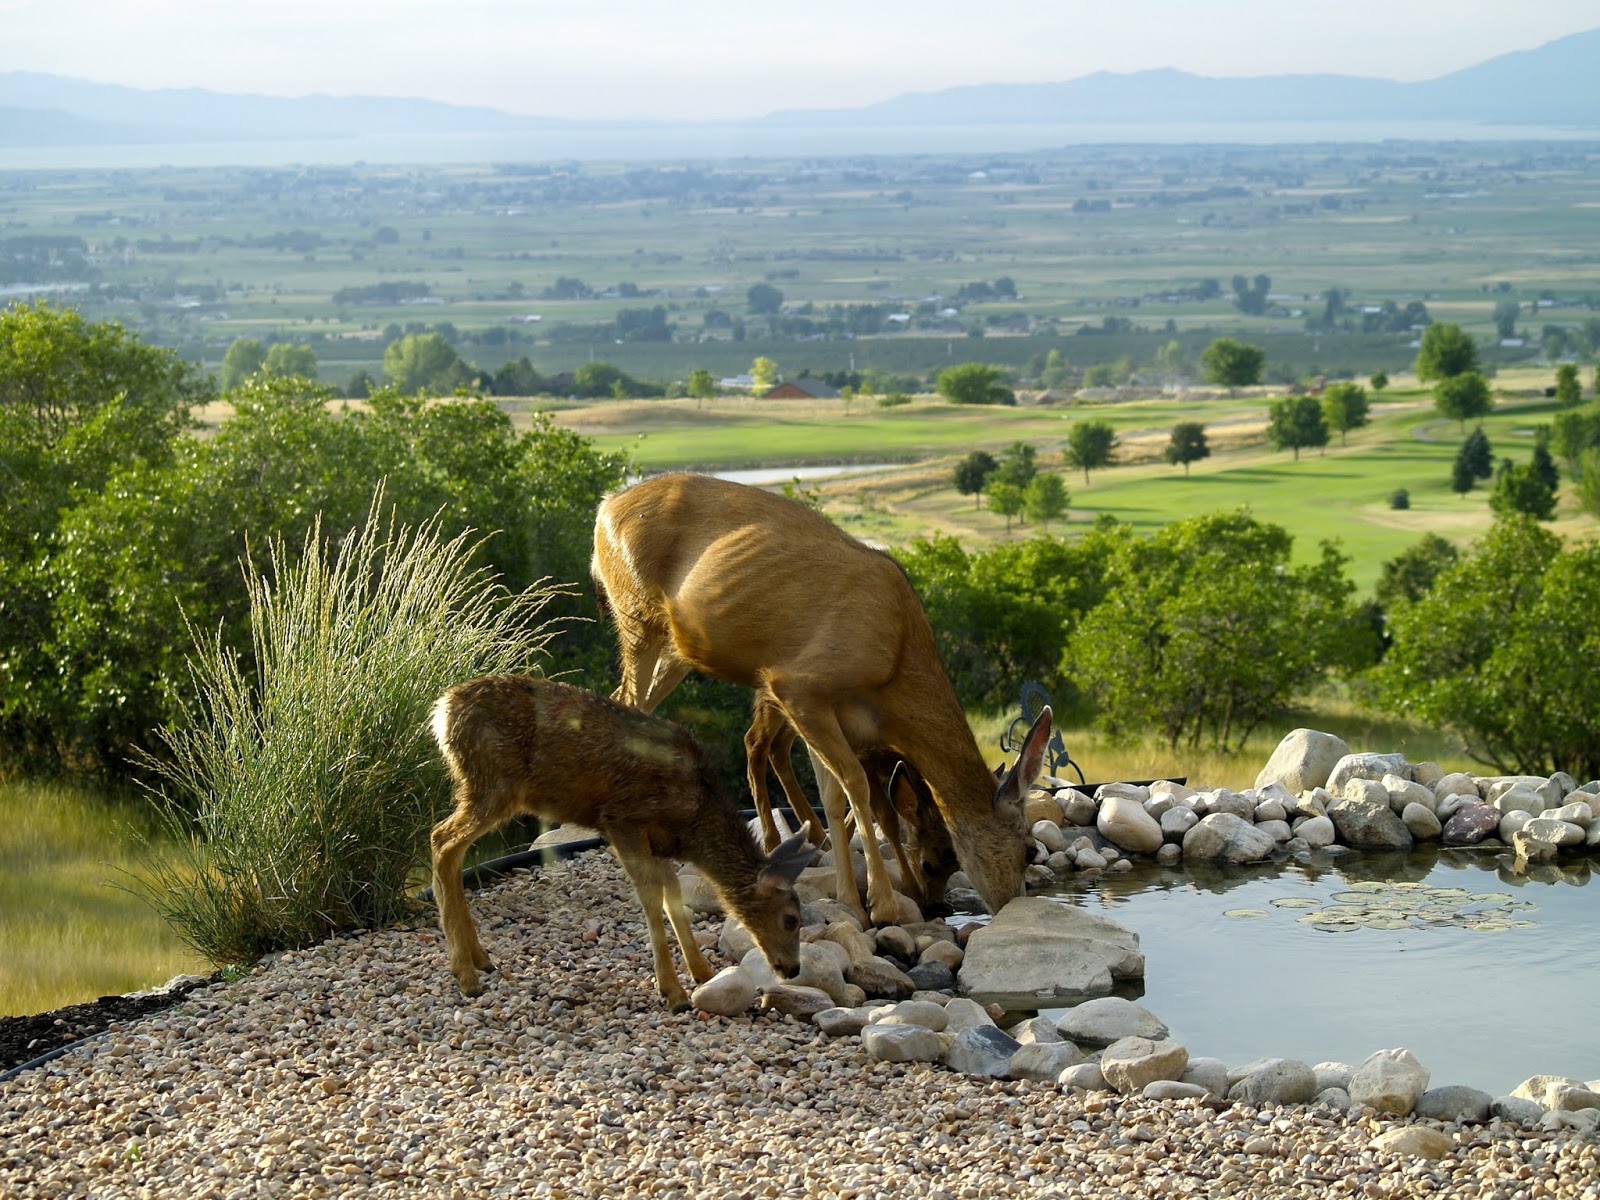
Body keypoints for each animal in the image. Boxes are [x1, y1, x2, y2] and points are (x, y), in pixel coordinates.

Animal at [429, 675, 816, 1010]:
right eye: (790, 919)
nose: (792, 968)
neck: (694, 821)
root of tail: (442, 710)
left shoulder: (657, 842)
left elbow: (672, 892)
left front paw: (702, 974)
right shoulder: (622, 819)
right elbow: (650, 895)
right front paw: (673, 992)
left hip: (483, 787)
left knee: (449, 846)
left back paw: (480, 960)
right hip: (493, 784)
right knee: (442, 841)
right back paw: (465, 975)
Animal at [744, 689, 959, 914]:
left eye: (956, 867)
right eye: (927, 865)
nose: (938, 907)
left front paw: (840, 843)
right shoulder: (864, 759)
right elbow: (887, 818)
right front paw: (912, 890)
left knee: (779, 746)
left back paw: (818, 835)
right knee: (755, 742)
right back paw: (772, 841)